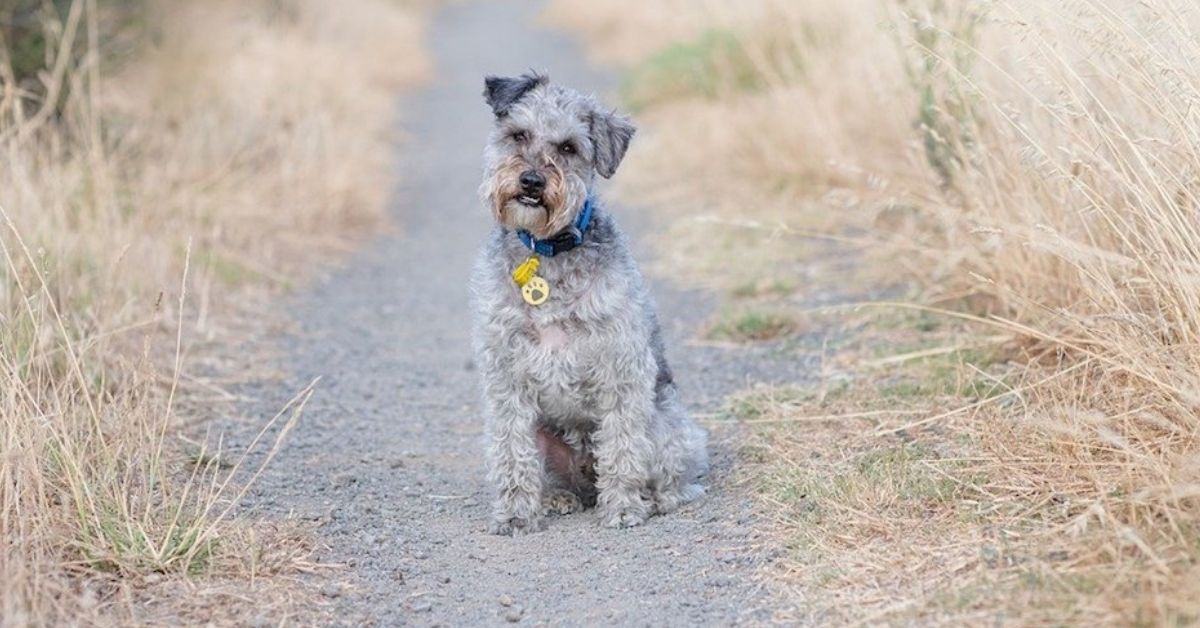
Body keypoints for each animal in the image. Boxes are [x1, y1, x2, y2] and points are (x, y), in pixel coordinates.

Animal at [468, 72, 705, 535]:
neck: (549, 251)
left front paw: (624, 508)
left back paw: (654, 498)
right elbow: (511, 451)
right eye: (518, 135)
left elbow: (622, 446)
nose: (532, 181)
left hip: (668, 427)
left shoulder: (621, 366)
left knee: (664, 473)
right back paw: (557, 499)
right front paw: (515, 514)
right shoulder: (506, 375)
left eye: (568, 148)